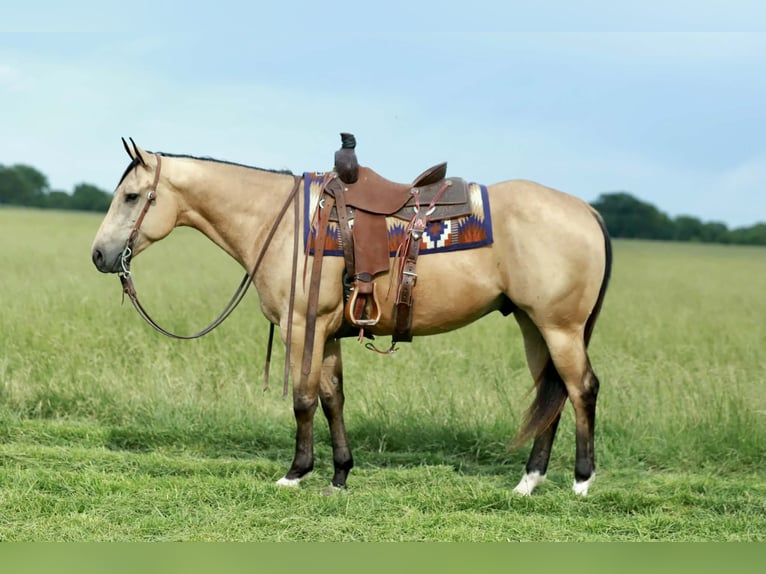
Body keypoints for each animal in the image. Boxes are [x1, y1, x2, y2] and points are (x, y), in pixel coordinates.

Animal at [91, 139, 612, 496]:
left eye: (132, 197)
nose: (99, 255)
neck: (281, 223)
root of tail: (586, 210)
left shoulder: (303, 327)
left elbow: (303, 400)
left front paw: (295, 473)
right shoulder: (329, 333)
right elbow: (332, 400)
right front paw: (340, 474)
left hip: (559, 327)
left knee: (581, 389)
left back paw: (581, 482)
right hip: (532, 325)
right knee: (553, 394)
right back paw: (528, 482)